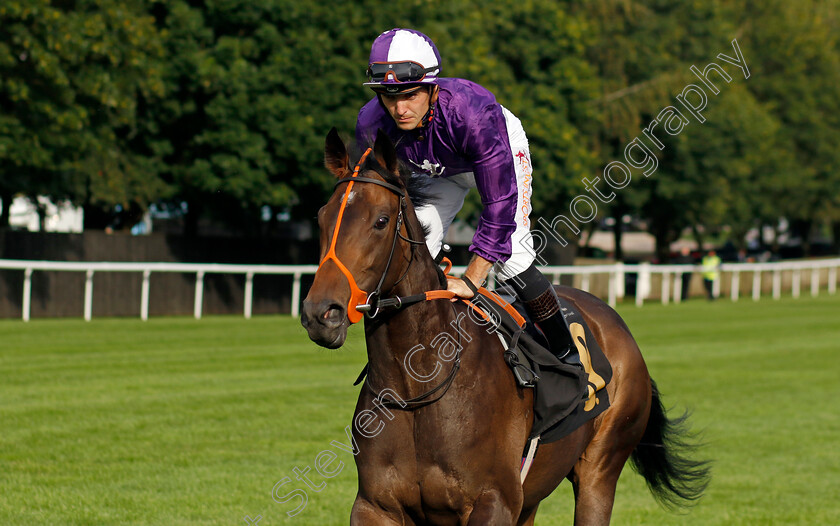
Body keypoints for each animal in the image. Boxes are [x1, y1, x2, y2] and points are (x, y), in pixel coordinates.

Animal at [302, 129, 708, 526]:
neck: (417, 388)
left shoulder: (493, 501)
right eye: (321, 218)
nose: (321, 313)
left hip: (600, 468)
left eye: (381, 221)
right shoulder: (375, 505)